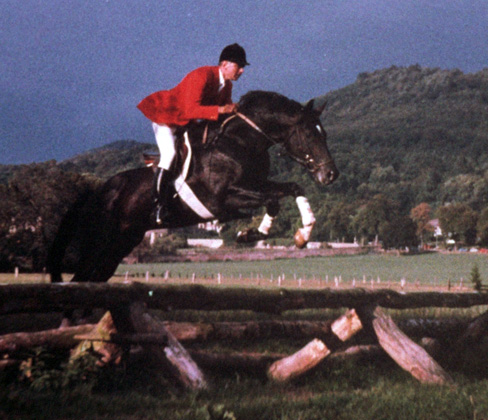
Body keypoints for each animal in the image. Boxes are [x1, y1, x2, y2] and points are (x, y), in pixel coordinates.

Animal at [48, 90, 340, 284]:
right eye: (309, 134)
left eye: (324, 133)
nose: (330, 174)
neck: (240, 142)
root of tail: (97, 192)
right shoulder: (224, 198)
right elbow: (273, 200)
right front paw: (249, 234)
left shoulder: (256, 184)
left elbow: (293, 188)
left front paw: (299, 234)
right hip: (101, 241)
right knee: (81, 279)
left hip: (122, 243)